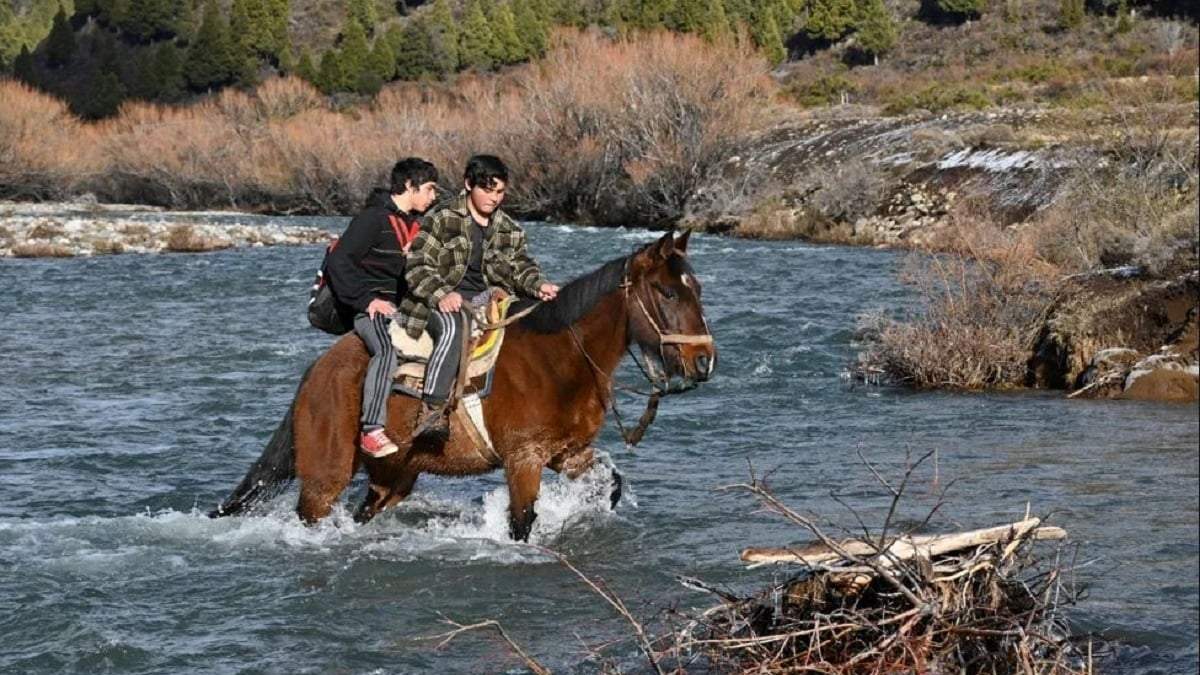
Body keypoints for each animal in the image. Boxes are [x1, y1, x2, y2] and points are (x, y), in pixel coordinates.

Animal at [209, 229, 716, 541]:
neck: (562, 359)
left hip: (394, 477)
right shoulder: (523, 460)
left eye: (697, 289)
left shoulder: (567, 454)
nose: (704, 360)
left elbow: (611, 485)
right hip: (324, 479)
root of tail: (316, 371)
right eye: (668, 292)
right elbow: (521, 524)